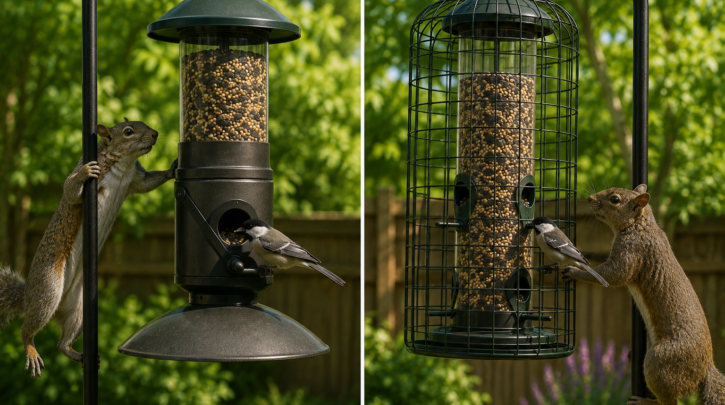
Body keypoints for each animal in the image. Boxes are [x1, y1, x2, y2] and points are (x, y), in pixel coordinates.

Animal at [0, 118, 177, 378]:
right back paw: (31, 350)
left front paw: (172, 169)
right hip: (47, 290)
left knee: (61, 344)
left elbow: (148, 183)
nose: (154, 134)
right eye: (128, 131)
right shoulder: (89, 184)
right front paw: (84, 172)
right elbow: (70, 191)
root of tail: (28, 295)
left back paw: (74, 353)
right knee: (27, 329)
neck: (123, 164)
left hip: (79, 308)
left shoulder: (136, 179)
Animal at [562, 184, 725, 405]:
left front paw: (574, 271)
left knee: (669, 401)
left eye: (615, 199)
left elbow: (613, 275)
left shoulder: (633, 251)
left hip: (660, 364)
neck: (640, 225)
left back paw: (644, 400)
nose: (590, 198)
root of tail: (704, 369)